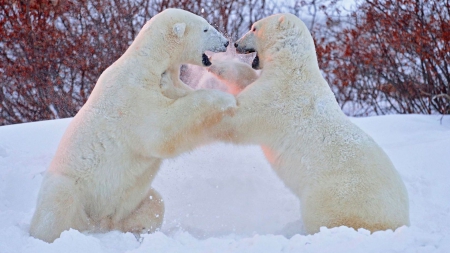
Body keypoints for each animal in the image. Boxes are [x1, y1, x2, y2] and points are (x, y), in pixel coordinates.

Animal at [30, 8, 236, 243]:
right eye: (205, 28)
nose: (226, 42)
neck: (149, 62)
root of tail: (98, 222)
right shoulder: (132, 96)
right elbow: (163, 131)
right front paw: (224, 99)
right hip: (71, 186)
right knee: (58, 206)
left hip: (125, 206)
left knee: (154, 202)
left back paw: (134, 231)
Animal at [206, 13, 410, 234]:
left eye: (253, 28)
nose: (236, 43)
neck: (293, 66)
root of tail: (400, 222)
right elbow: (246, 79)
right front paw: (217, 63)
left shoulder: (278, 96)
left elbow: (242, 118)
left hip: (336, 197)